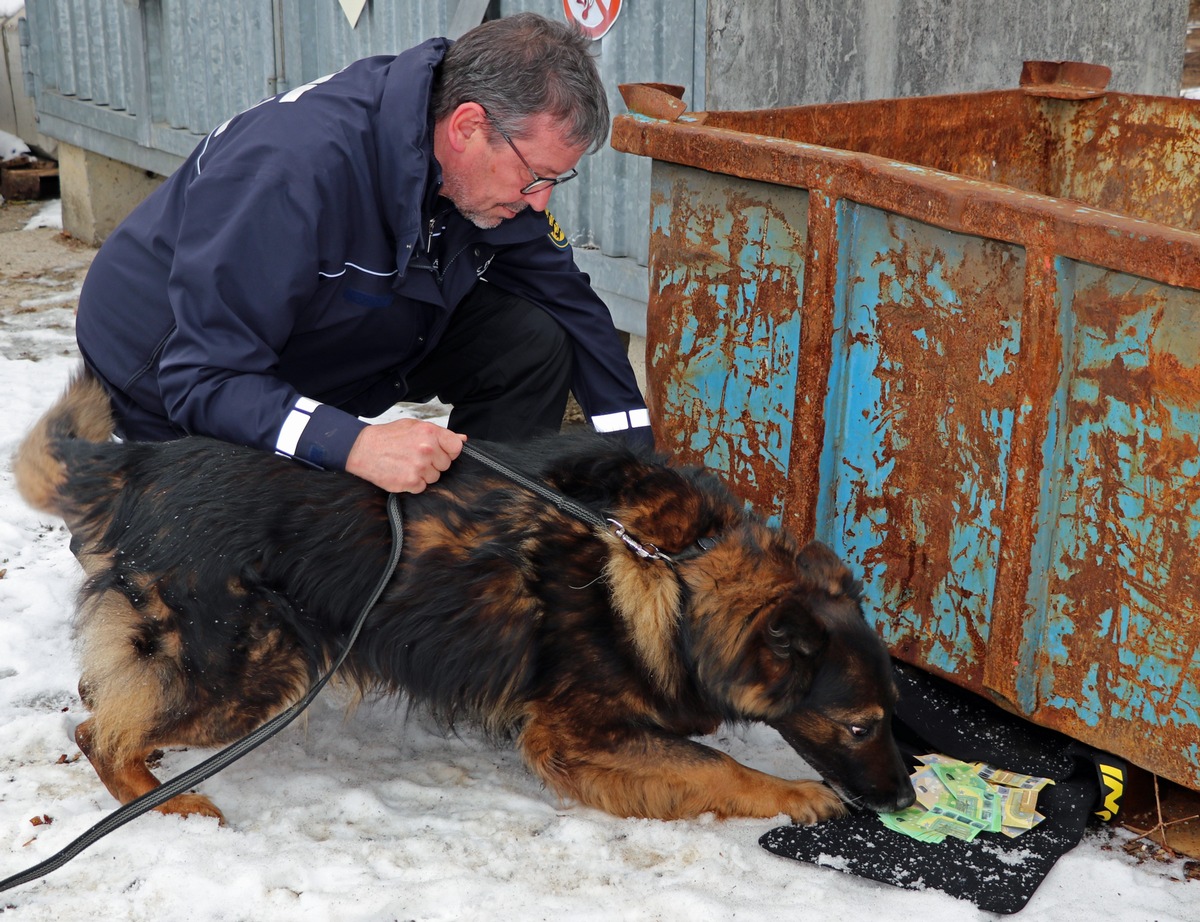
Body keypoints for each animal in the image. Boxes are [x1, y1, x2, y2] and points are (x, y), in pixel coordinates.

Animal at [11, 364, 907, 825]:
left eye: (892, 720)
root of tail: (137, 463)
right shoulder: (575, 735)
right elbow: (714, 764)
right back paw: (160, 802)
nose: (901, 796)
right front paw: (795, 795)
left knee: (107, 702)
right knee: (97, 731)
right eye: (861, 726)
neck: (680, 571)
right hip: (258, 670)